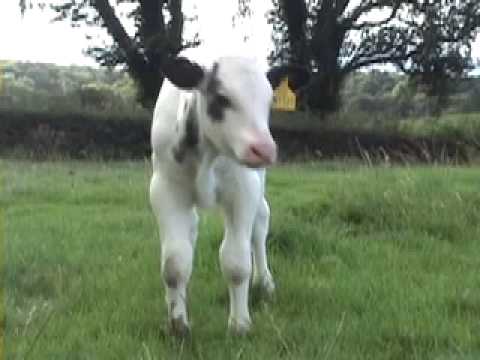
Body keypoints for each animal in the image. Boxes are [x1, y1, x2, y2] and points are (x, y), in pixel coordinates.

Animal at [149, 54, 308, 336]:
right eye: (221, 98)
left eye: (270, 101)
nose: (263, 149)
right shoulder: (165, 188)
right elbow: (175, 262)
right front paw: (178, 324)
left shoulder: (243, 190)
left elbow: (236, 262)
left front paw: (240, 325)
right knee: (192, 226)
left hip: (258, 182)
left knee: (261, 222)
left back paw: (264, 283)